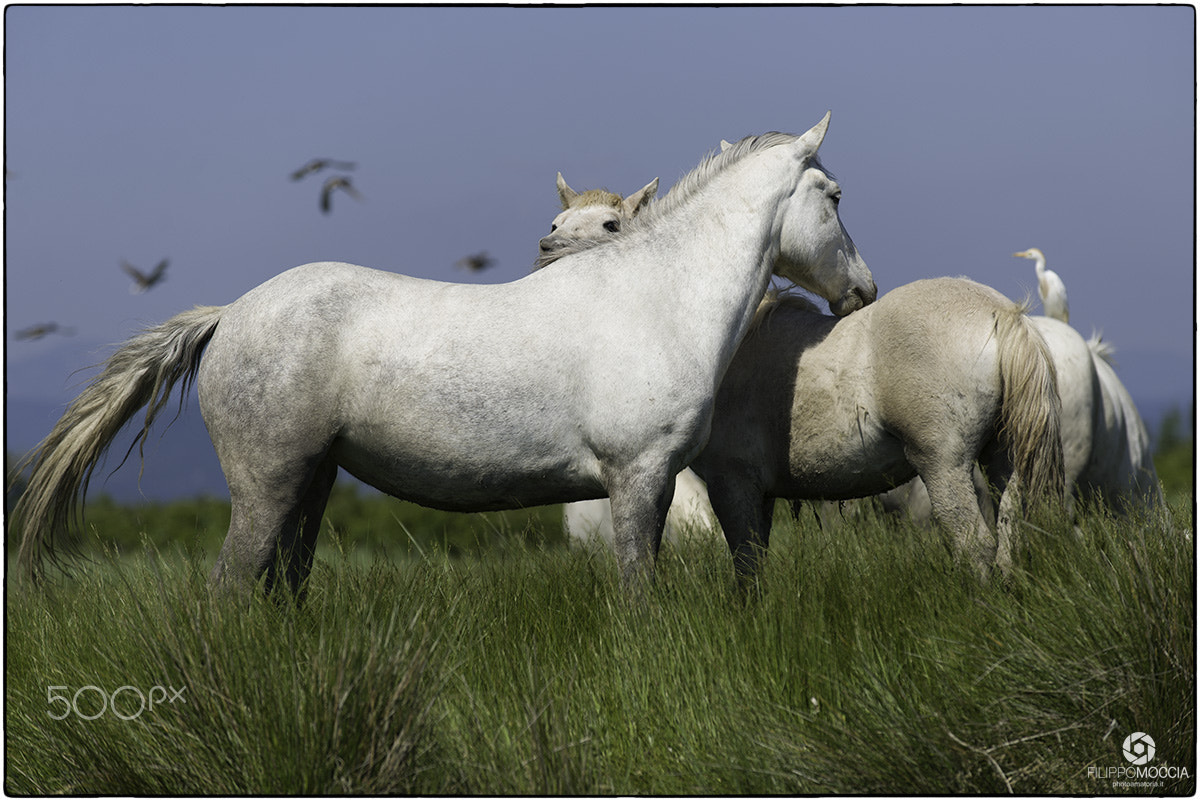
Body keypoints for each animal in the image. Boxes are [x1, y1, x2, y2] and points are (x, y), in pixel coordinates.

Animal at [13, 112, 875, 596]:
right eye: (834, 197)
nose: (862, 290)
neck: (658, 299)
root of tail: (230, 316)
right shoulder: (640, 477)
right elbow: (639, 593)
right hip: (266, 487)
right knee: (227, 592)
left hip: (310, 484)